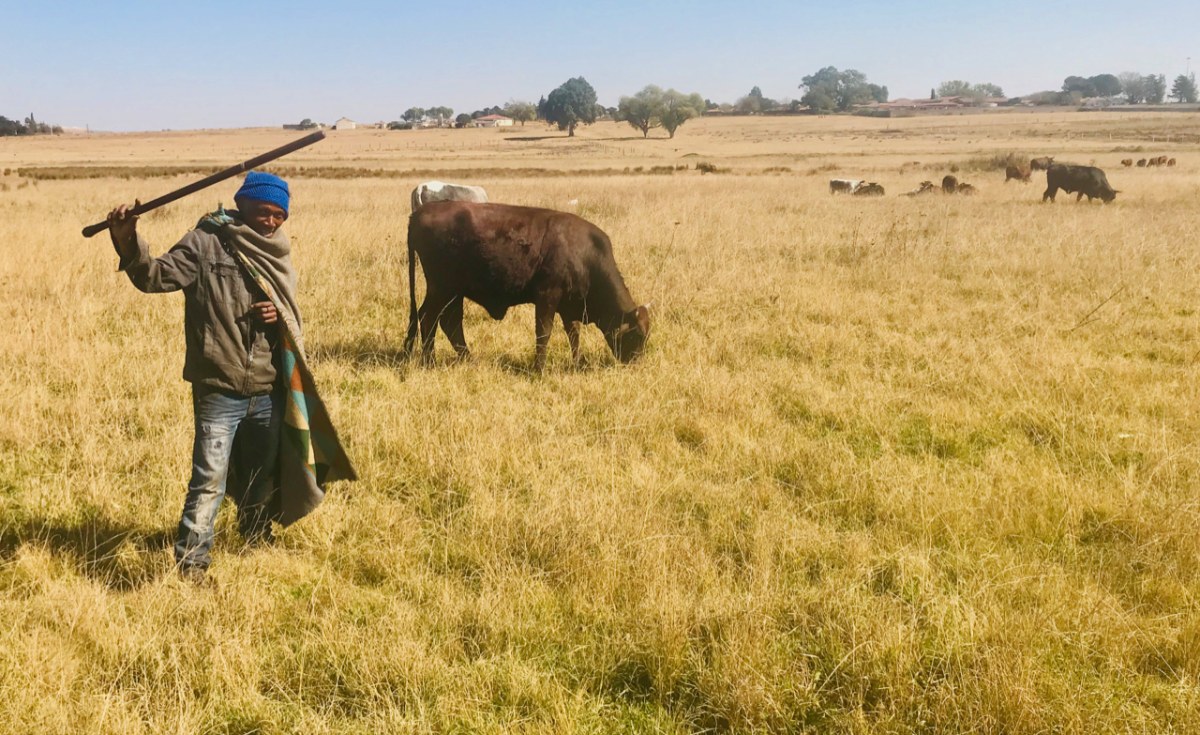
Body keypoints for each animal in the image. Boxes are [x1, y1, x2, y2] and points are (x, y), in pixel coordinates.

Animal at [405, 201, 650, 372]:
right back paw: (430, 361)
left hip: (453, 292)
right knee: (430, 319)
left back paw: (466, 359)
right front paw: (539, 369)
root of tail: (420, 212)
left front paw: (577, 363)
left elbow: (574, 335)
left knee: (448, 322)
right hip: (443, 290)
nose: (635, 363)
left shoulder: (568, 305)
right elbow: (544, 333)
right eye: (637, 335)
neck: (584, 252)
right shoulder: (547, 298)